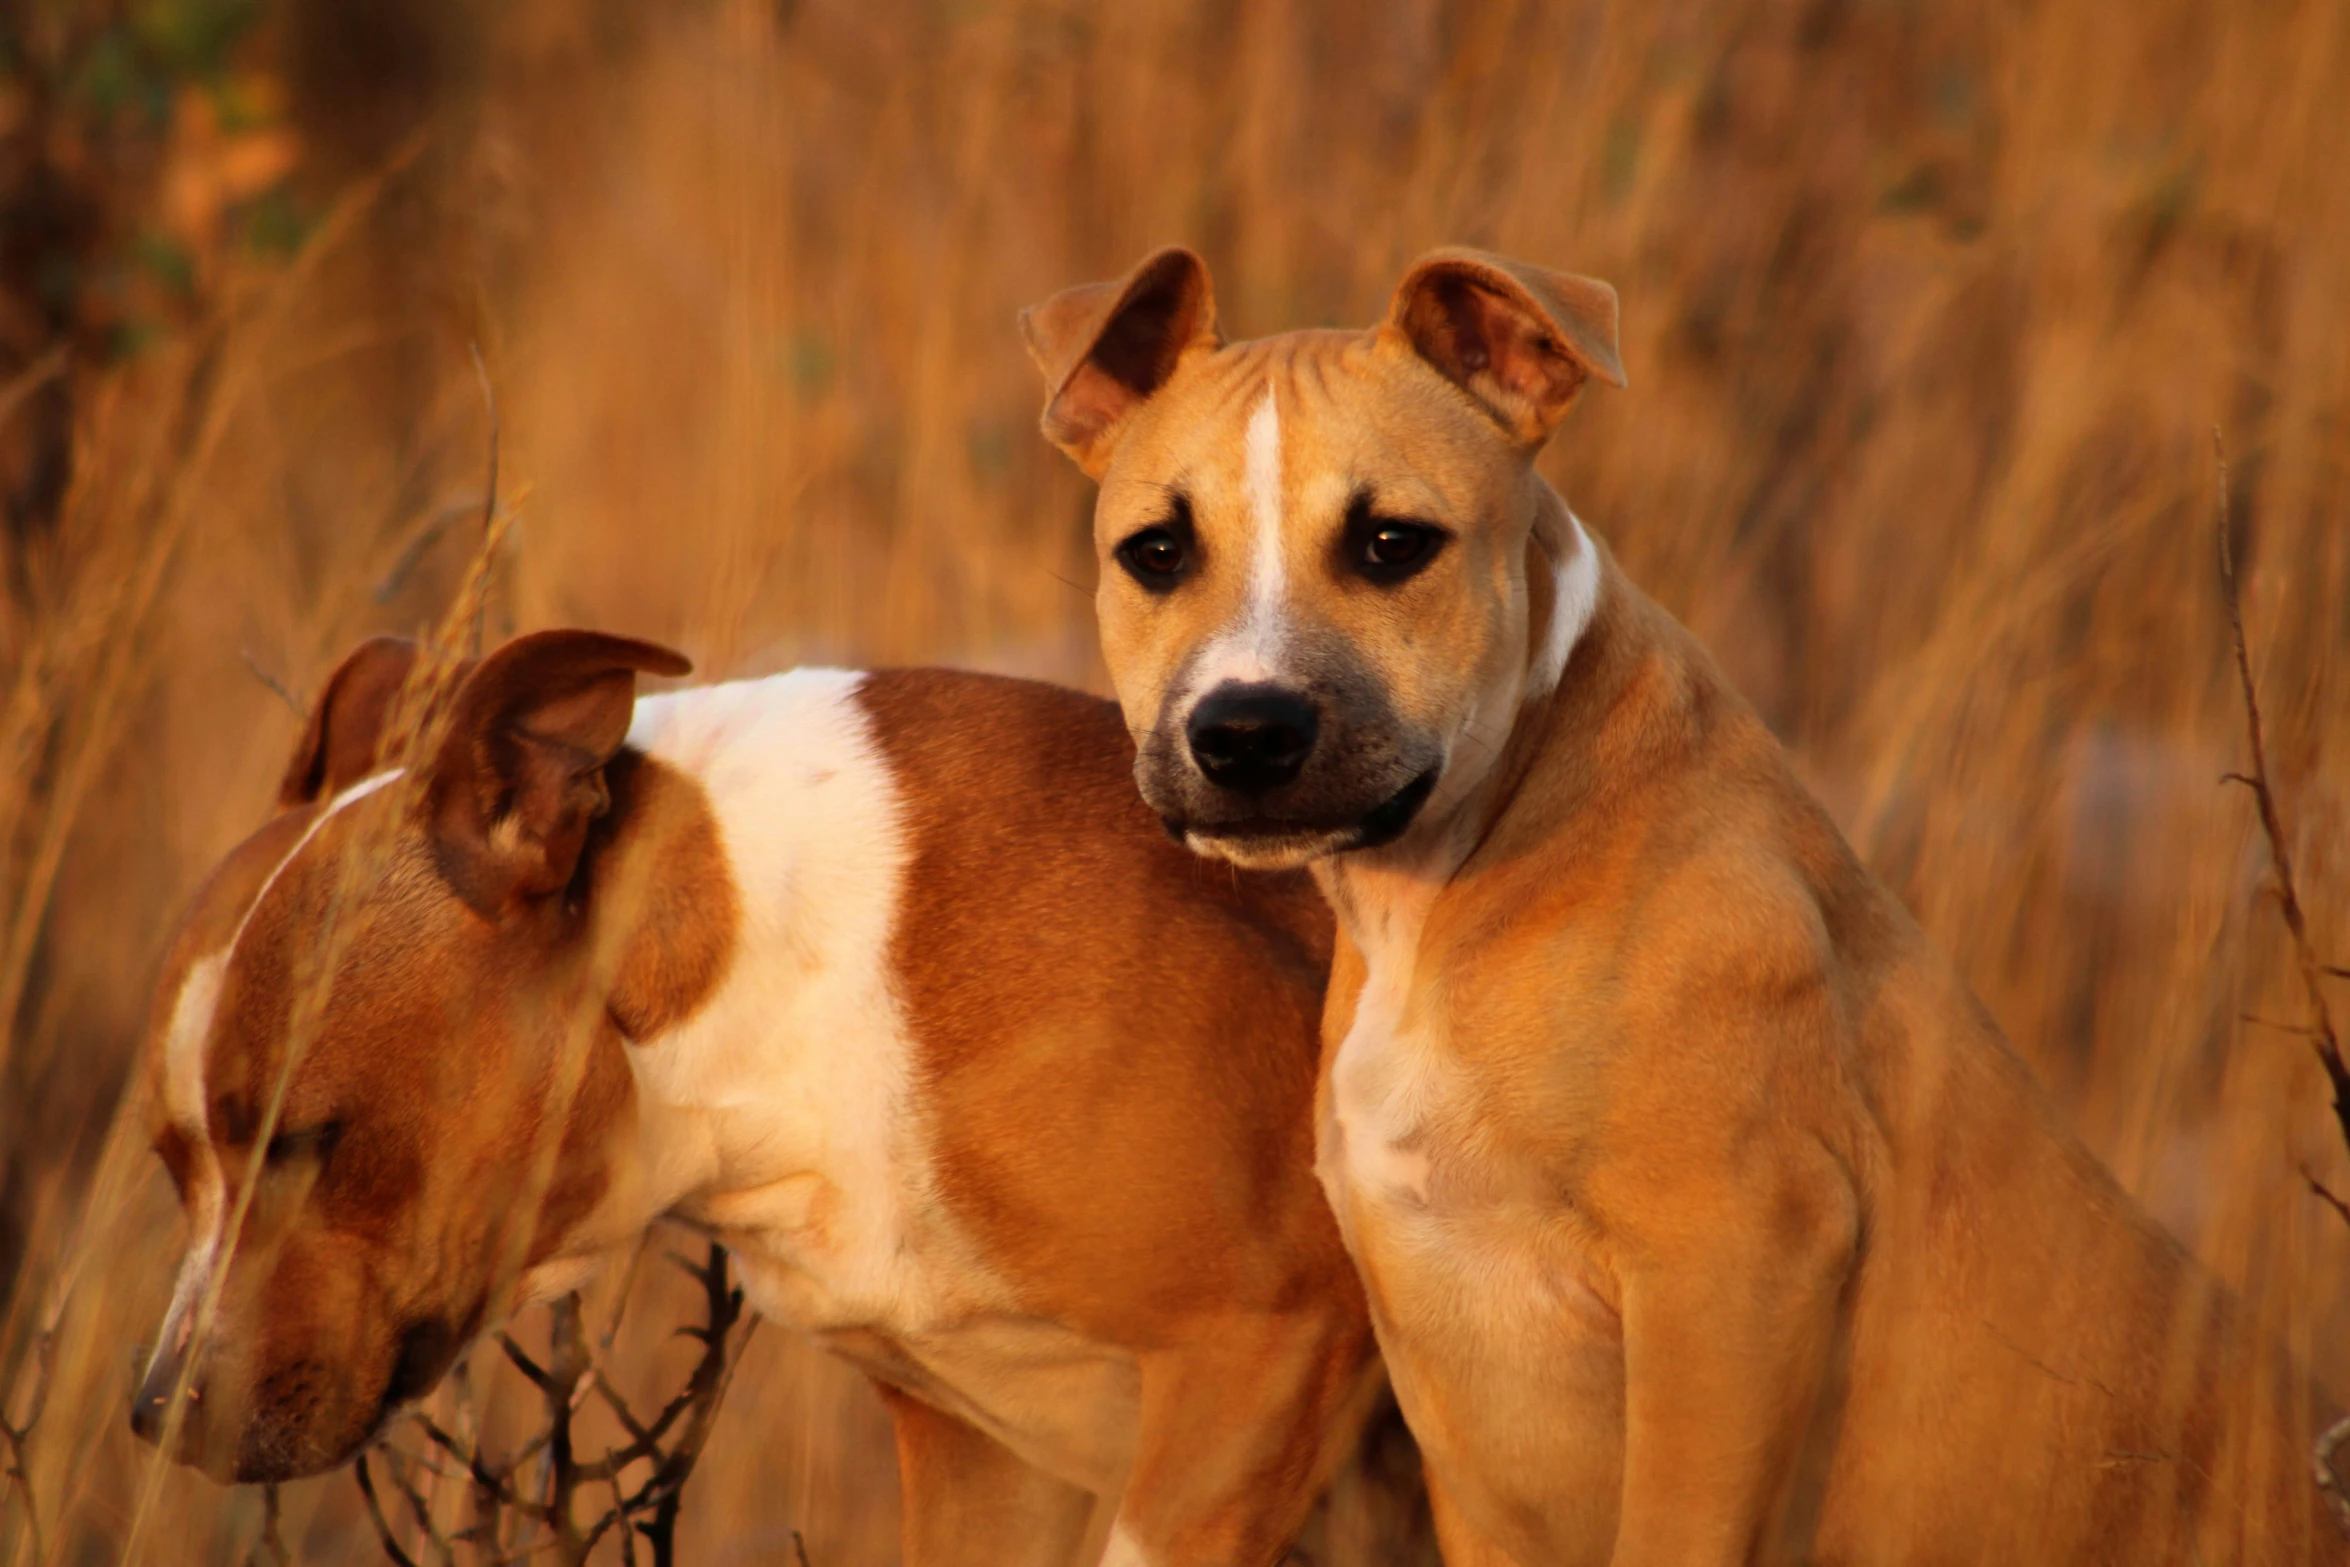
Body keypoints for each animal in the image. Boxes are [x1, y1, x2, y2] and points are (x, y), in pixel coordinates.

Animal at [1024, 251, 2331, 1559]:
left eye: (1393, 544)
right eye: (1155, 553)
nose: (1244, 730)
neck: (1454, 883)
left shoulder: (1731, 1276)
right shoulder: (1452, 1394)